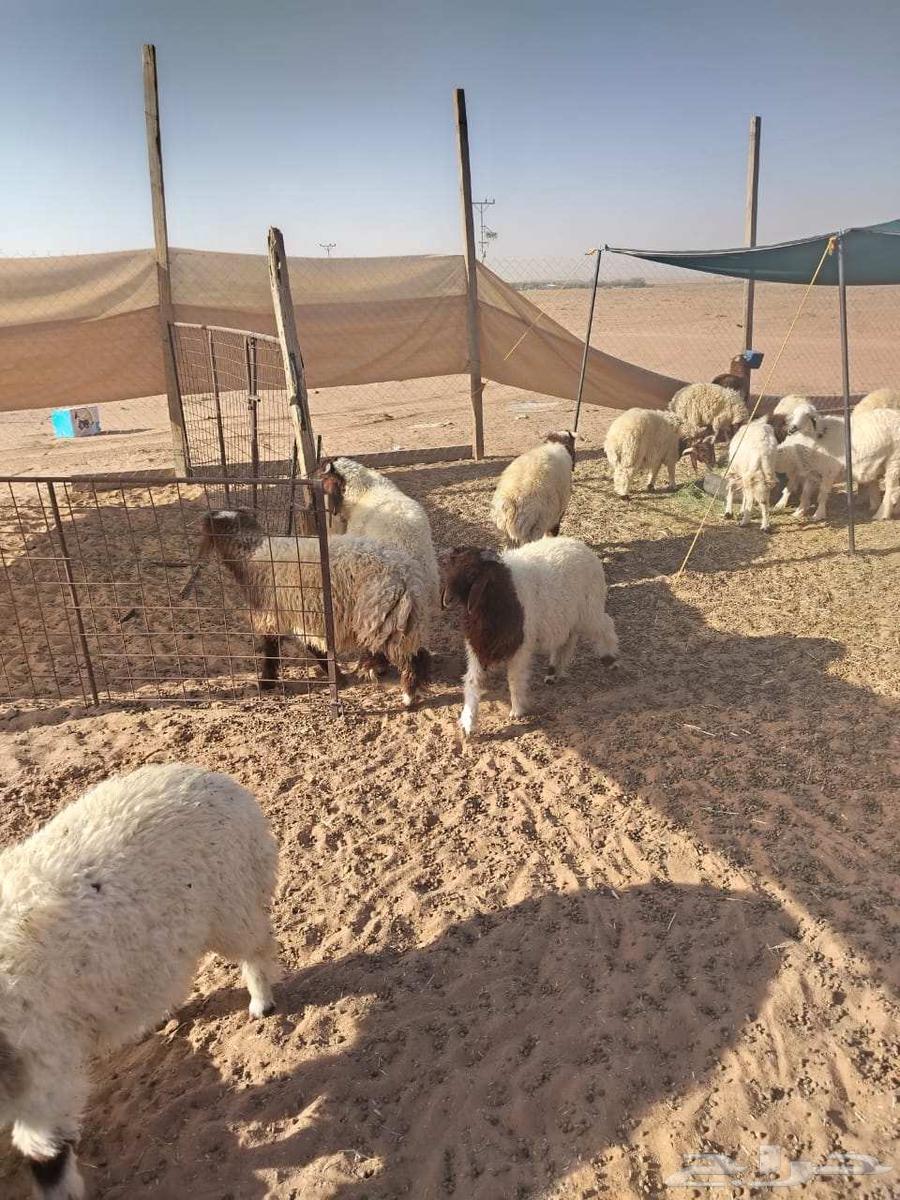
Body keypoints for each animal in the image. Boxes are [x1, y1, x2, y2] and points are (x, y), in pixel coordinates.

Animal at [0, 763, 279, 1200]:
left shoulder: (44, 1065)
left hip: (233, 901)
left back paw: (261, 1004)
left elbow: (47, 1156)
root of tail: (216, 779)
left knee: (259, 946)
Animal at [201, 508, 430, 706]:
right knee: (410, 648)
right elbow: (314, 646)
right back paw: (377, 668)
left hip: (380, 613)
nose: (206, 515)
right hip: (394, 618)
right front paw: (336, 675)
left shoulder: (273, 614)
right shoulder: (299, 615)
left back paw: (408, 694)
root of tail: (405, 574)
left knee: (408, 656)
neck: (254, 553)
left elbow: (272, 649)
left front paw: (266, 682)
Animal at [439, 537, 619, 737]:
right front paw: (468, 723)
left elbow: (514, 678)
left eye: (472, 572)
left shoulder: (520, 647)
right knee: (567, 641)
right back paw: (553, 673)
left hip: (589, 610)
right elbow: (472, 680)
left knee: (605, 625)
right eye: (449, 569)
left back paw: (611, 660)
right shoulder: (478, 646)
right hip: (568, 618)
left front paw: (517, 710)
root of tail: (580, 545)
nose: (448, 599)